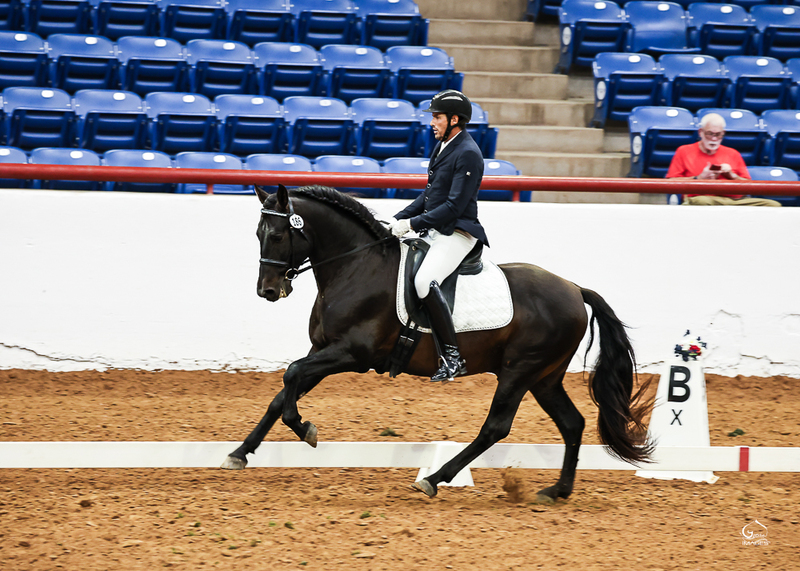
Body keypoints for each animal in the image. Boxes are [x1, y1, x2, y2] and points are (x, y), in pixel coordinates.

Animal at [221, 184, 653, 502]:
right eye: (258, 234)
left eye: (278, 234)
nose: (267, 291)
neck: (356, 266)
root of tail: (575, 289)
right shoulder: (322, 351)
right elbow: (284, 389)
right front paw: (239, 453)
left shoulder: (352, 354)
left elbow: (291, 377)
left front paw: (306, 429)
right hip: (544, 377)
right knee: (572, 422)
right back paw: (557, 490)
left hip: (519, 371)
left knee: (496, 427)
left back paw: (434, 478)